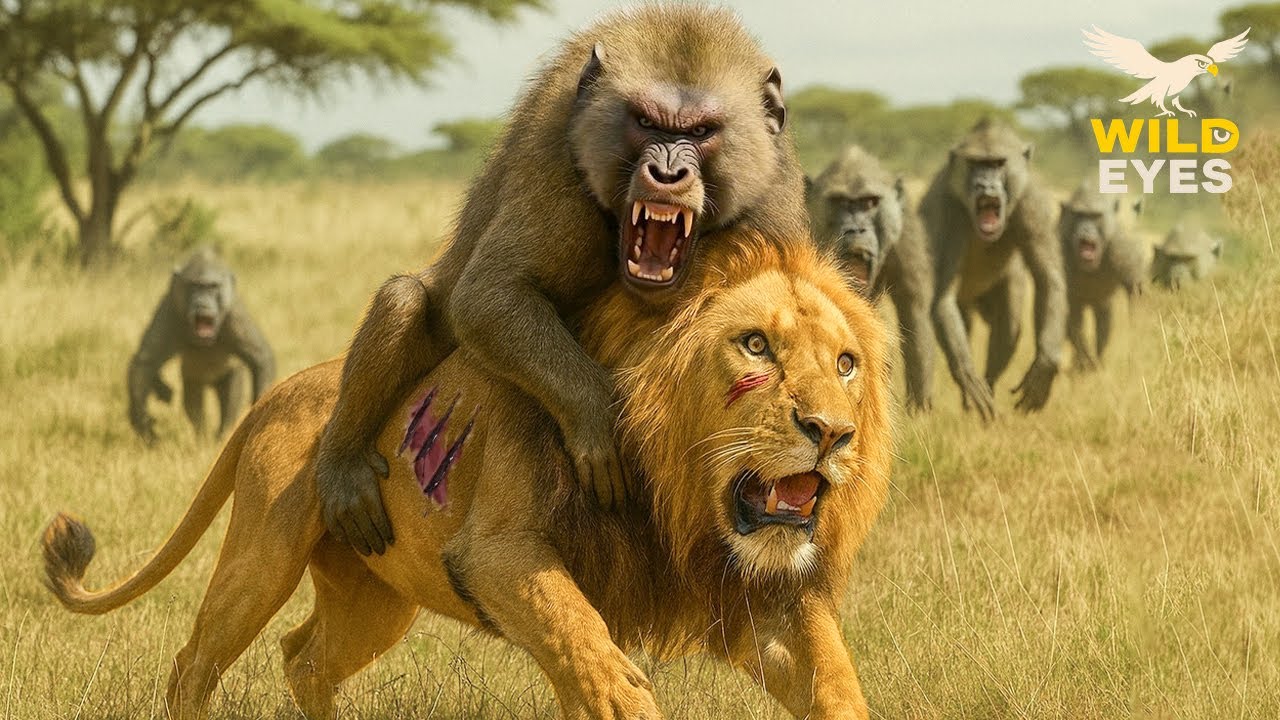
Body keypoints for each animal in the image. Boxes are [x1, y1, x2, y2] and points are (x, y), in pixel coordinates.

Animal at [127, 247, 275, 442]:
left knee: (230, 396)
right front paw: (143, 423)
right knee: (193, 402)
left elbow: (260, 358)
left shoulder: (234, 313)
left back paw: (223, 434)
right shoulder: (170, 307)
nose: (203, 303)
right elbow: (146, 362)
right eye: (194, 285)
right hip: (194, 381)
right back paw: (202, 436)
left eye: (212, 287)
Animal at [316, 5, 810, 556]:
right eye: (646, 122)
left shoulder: (770, 204)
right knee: (404, 300)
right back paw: (341, 466)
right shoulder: (559, 169)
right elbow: (488, 296)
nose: (666, 175)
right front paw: (601, 423)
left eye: (702, 131)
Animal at [806, 145, 936, 411]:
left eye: (870, 203)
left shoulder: (906, 232)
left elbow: (914, 311)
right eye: (841, 202)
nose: (856, 229)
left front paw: (920, 412)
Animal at [920, 118, 1067, 421]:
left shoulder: (1033, 202)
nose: (985, 184)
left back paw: (985, 390)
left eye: (998, 164)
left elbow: (1049, 280)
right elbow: (942, 299)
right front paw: (968, 378)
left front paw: (1044, 368)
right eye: (976, 164)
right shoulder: (946, 210)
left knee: (1009, 324)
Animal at [1058, 182, 1147, 371]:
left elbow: (1136, 292)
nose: (1086, 228)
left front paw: (1137, 357)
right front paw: (1085, 361)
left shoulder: (1122, 246)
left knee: (1104, 315)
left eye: (1095, 216)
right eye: (1079, 215)